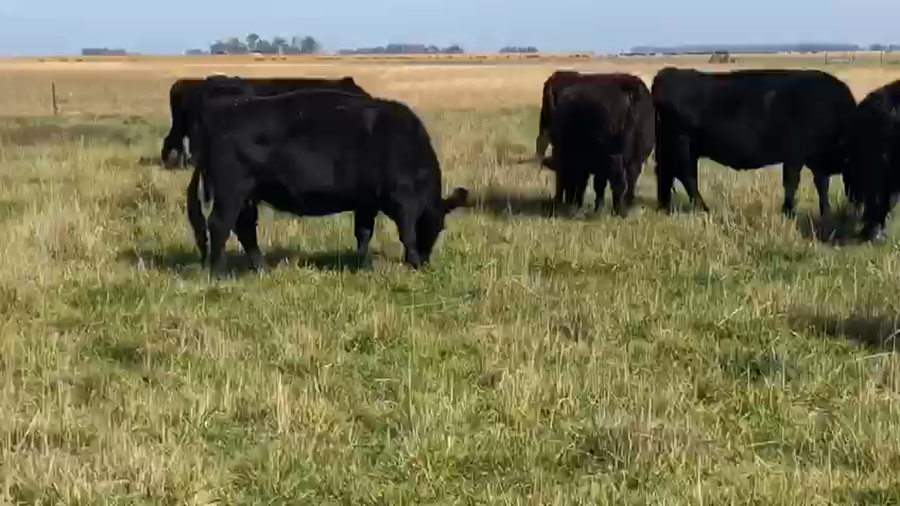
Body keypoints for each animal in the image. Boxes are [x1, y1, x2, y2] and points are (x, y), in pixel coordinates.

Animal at [185, 88, 469, 276]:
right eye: (437, 225)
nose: (426, 261)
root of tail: (217, 108)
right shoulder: (404, 199)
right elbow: (407, 233)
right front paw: (414, 263)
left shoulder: (366, 202)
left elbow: (363, 232)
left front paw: (361, 265)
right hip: (232, 190)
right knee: (219, 225)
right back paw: (218, 272)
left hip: (247, 195)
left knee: (243, 228)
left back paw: (263, 269)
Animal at [539, 74, 655, 217]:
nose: (564, 201)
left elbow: (590, 184)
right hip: (636, 157)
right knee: (630, 181)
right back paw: (625, 208)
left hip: (614, 156)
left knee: (619, 183)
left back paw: (616, 211)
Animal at [651, 67, 859, 217]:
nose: (856, 205)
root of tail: (670, 72)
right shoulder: (795, 155)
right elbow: (792, 182)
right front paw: (788, 211)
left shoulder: (814, 159)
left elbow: (821, 184)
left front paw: (826, 212)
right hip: (682, 146)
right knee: (686, 176)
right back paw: (703, 209)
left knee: (668, 174)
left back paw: (665, 207)